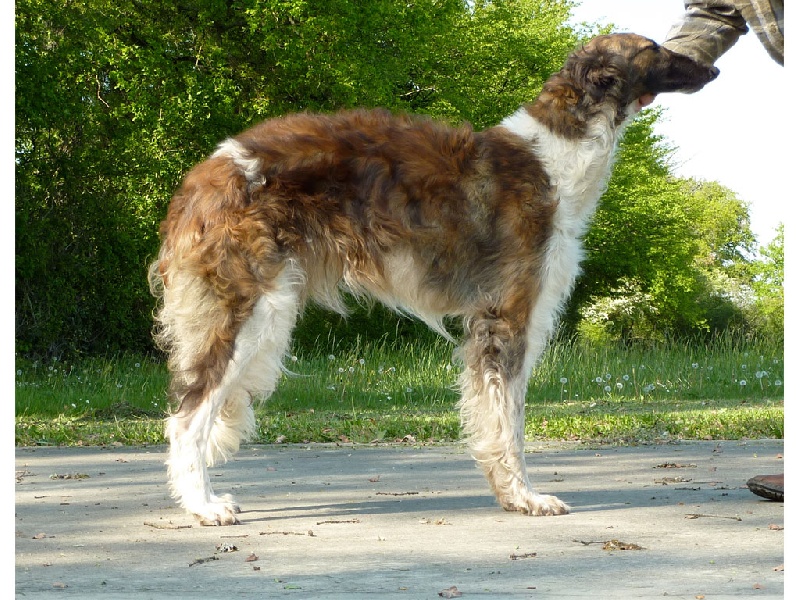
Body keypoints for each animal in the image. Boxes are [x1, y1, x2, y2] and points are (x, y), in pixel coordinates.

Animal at [150, 32, 720, 524]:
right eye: (653, 48)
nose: (713, 68)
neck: (557, 157)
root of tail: (202, 177)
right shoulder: (506, 315)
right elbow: (508, 424)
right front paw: (526, 497)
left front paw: (510, 495)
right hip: (250, 308)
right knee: (187, 414)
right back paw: (203, 505)